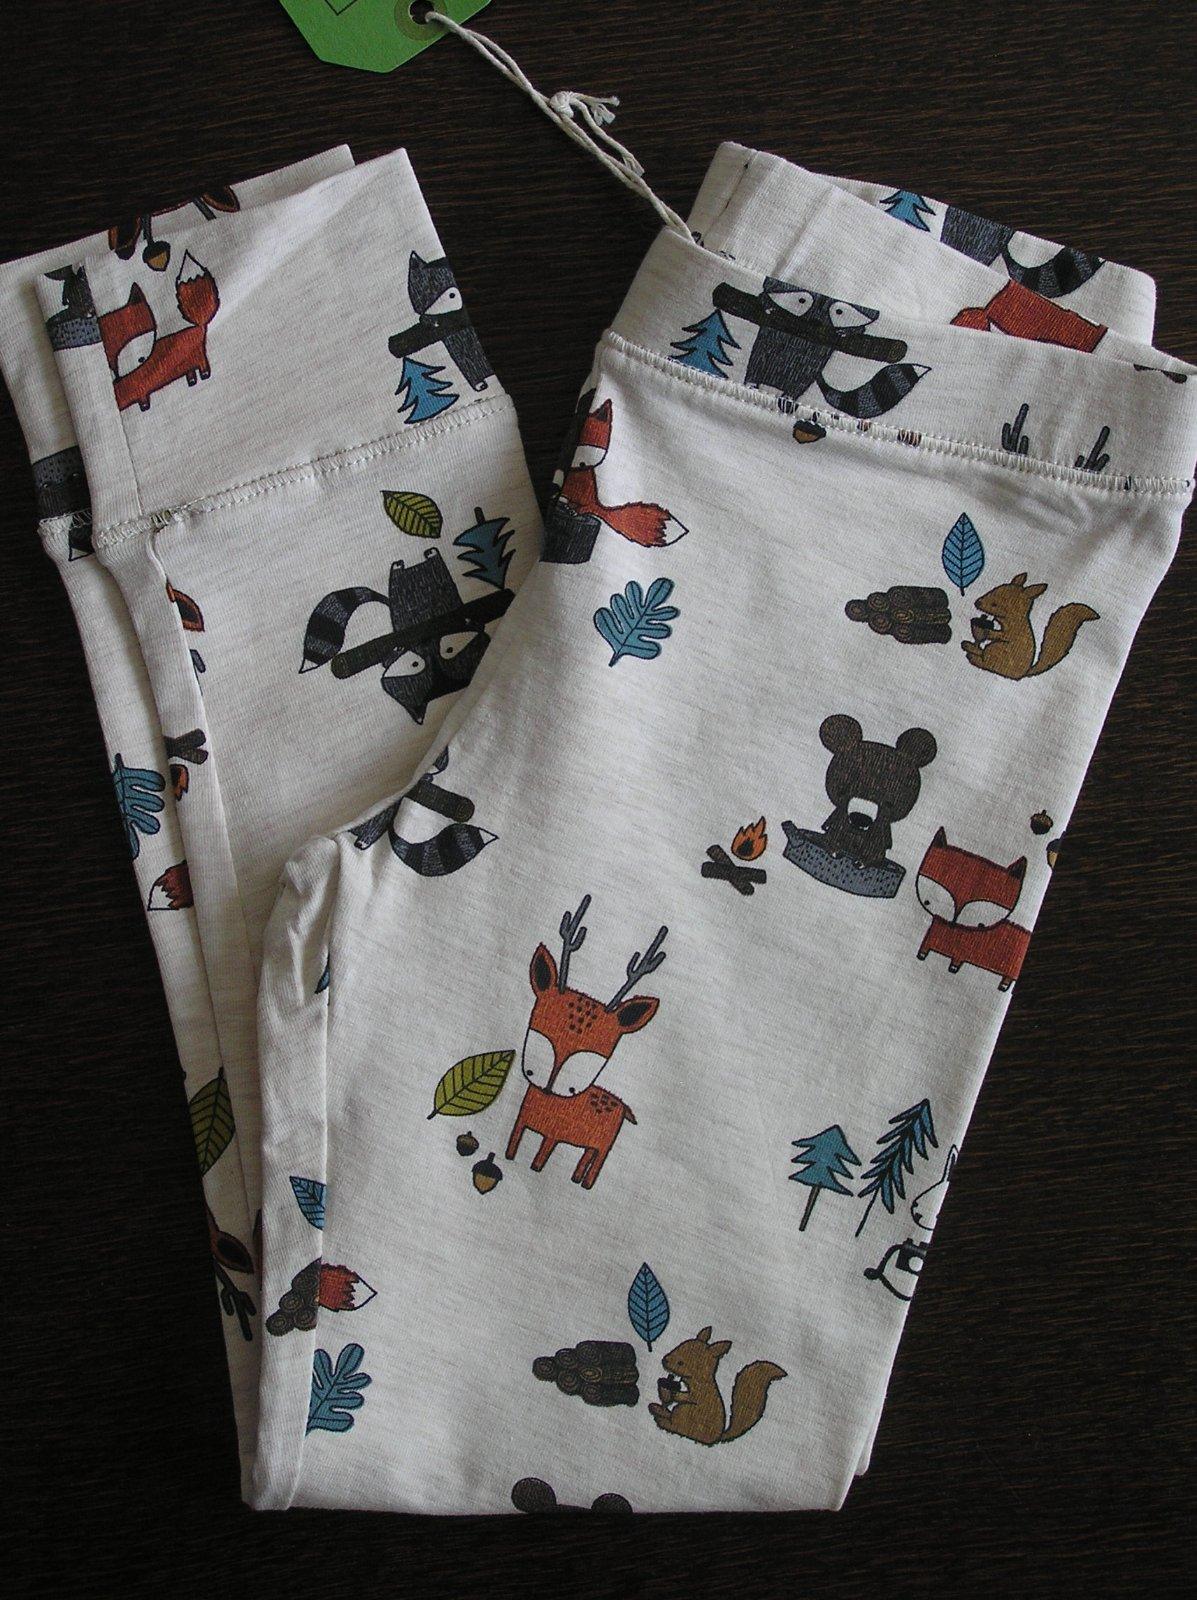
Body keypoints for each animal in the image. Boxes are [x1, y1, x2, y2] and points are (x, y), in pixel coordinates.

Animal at [505, 896, 667, 1190]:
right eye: (539, 1030)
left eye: (592, 1056)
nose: (549, 1079)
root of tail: (622, 1104)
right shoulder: (521, 1121)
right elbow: (514, 1141)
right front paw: (510, 1157)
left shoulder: (554, 1136)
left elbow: (542, 1153)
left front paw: (534, 1168)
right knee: (587, 1155)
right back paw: (577, 1178)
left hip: (604, 1143)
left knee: (598, 1157)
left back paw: (585, 1182)